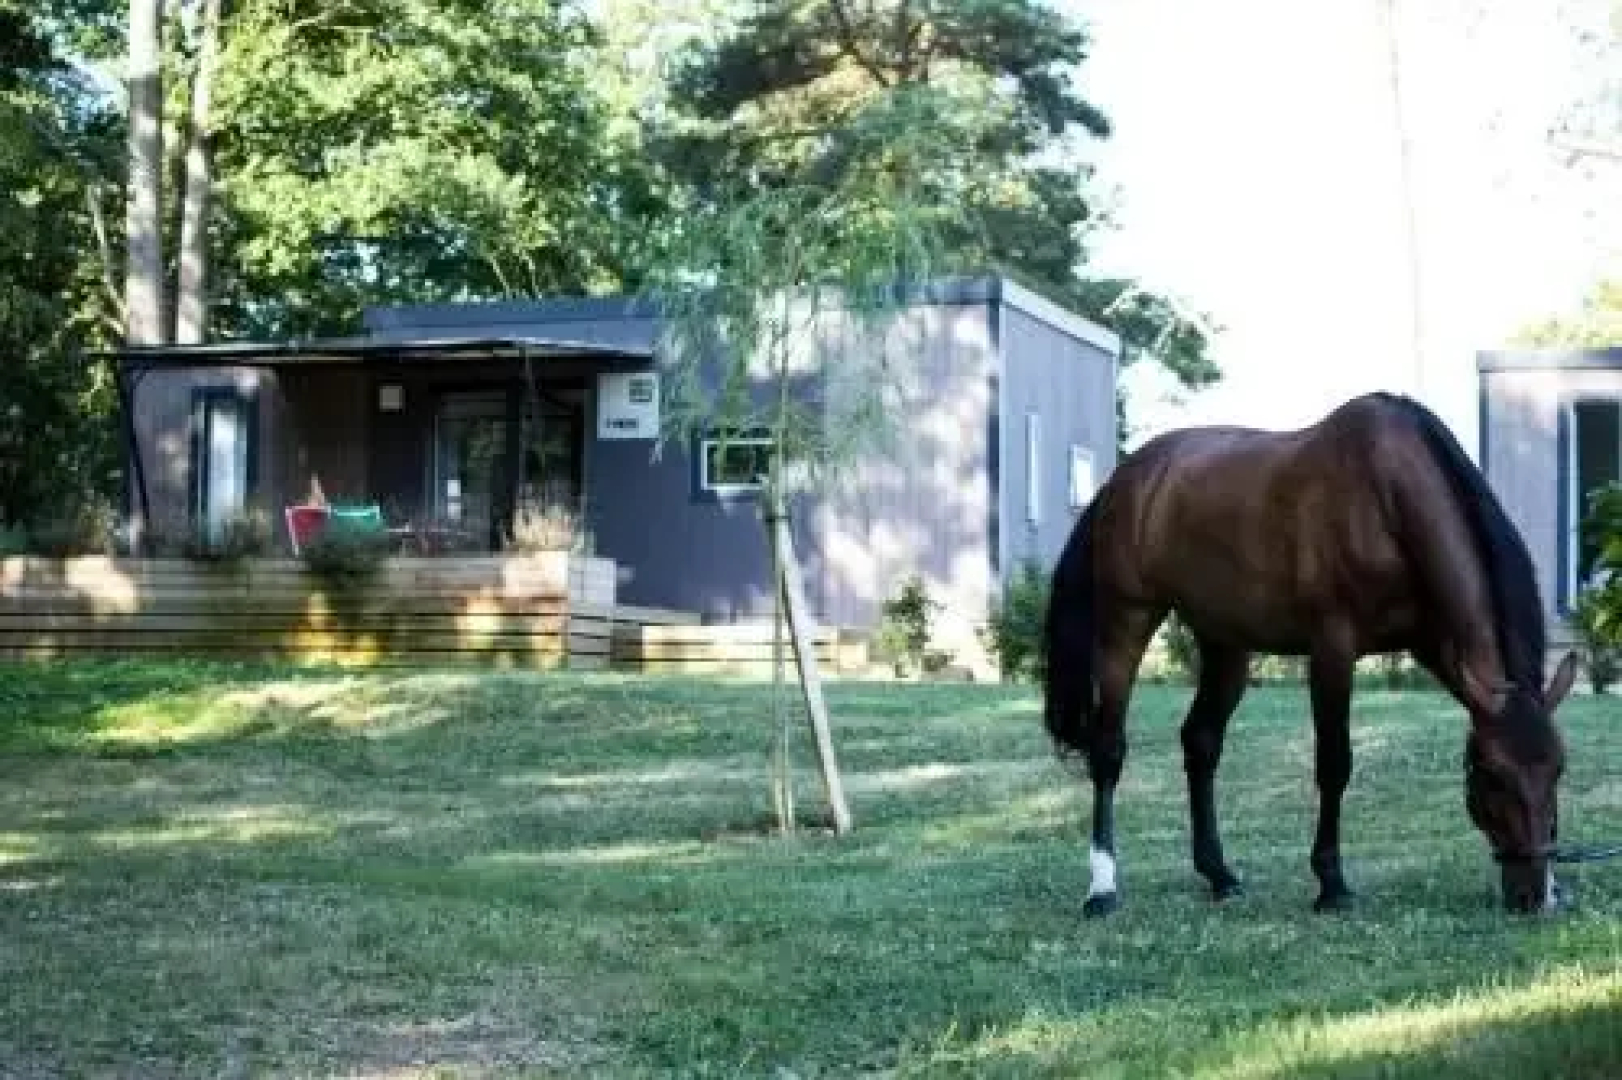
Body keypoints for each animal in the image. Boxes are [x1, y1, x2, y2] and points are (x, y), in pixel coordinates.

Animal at [1041, 391, 1579, 916]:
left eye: (1558, 769)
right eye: (1492, 775)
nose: (1535, 897)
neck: (1386, 495)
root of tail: (1124, 480)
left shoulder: (1436, 645)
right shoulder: (1332, 651)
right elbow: (1334, 763)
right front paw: (1331, 884)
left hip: (1226, 643)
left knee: (1201, 742)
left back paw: (1219, 875)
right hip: (1126, 623)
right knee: (1109, 749)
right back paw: (1102, 889)